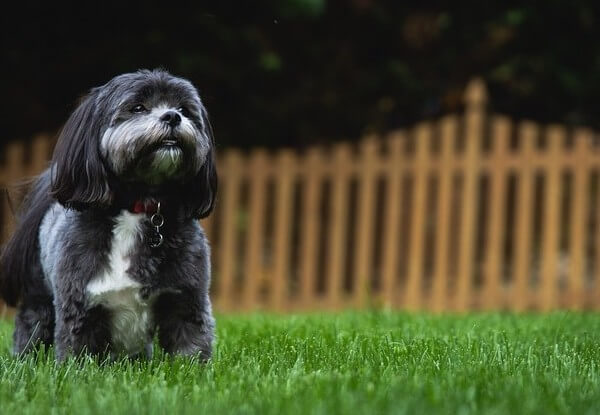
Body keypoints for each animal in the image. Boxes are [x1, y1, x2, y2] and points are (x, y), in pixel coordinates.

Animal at [0, 69, 217, 360]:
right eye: (138, 107)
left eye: (185, 109)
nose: (172, 116)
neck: (136, 206)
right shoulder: (79, 307)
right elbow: (76, 353)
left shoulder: (186, 299)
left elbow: (190, 347)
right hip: (39, 295)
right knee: (32, 323)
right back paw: (25, 358)